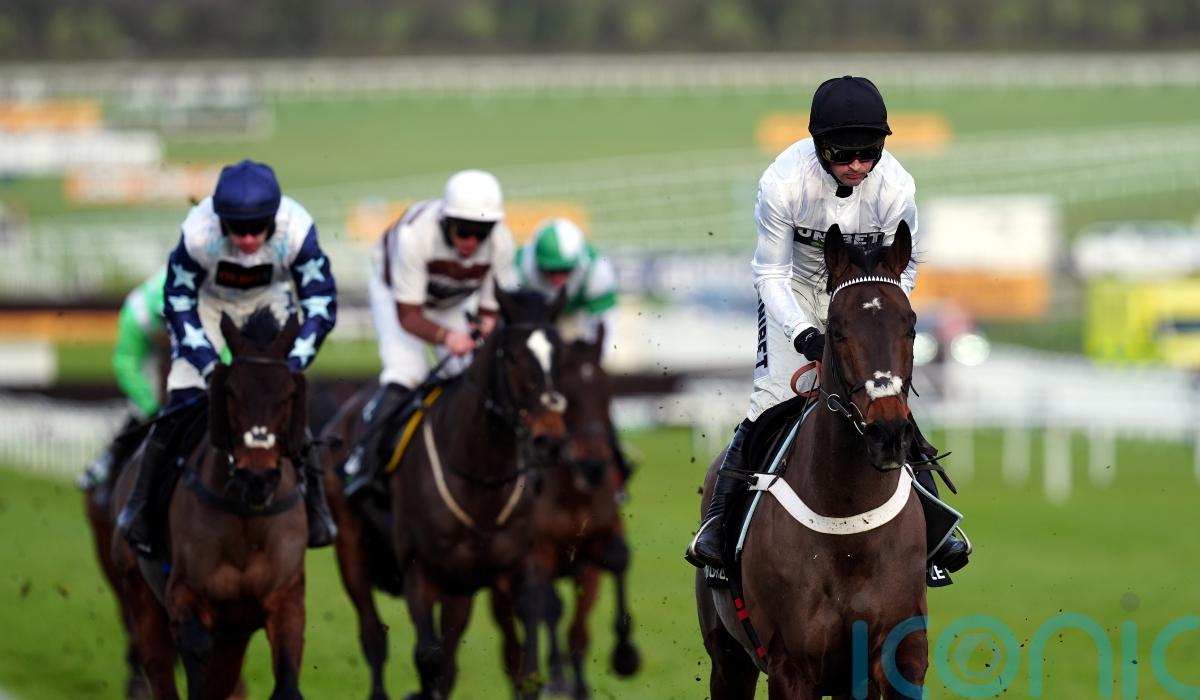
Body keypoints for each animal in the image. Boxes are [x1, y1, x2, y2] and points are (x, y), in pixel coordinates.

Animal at [110, 308, 311, 699]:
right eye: (231, 391)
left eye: (288, 393)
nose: (257, 477)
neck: (246, 517)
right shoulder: (186, 594)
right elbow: (195, 651)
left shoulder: (284, 597)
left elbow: (286, 681)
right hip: (139, 591)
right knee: (159, 668)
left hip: (235, 632)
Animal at [320, 286, 569, 700]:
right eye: (513, 356)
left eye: (559, 354)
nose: (549, 440)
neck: (480, 479)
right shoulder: (417, 571)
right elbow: (429, 656)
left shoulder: (517, 565)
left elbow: (524, 664)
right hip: (351, 548)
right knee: (374, 638)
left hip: (460, 585)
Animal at [496, 333, 640, 699]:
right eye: (569, 396)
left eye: (607, 391)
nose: (593, 465)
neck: (574, 494)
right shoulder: (540, 549)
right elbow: (546, 606)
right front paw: (557, 679)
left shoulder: (593, 549)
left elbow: (615, 561)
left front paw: (623, 655)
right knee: (515, 637)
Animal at [697, 223, 928, 699]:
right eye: (836, 330)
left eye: (911, 326)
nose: (888, 434)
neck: (849, 521)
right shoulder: (792, 665)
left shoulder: (901, 653)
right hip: (728, 659)